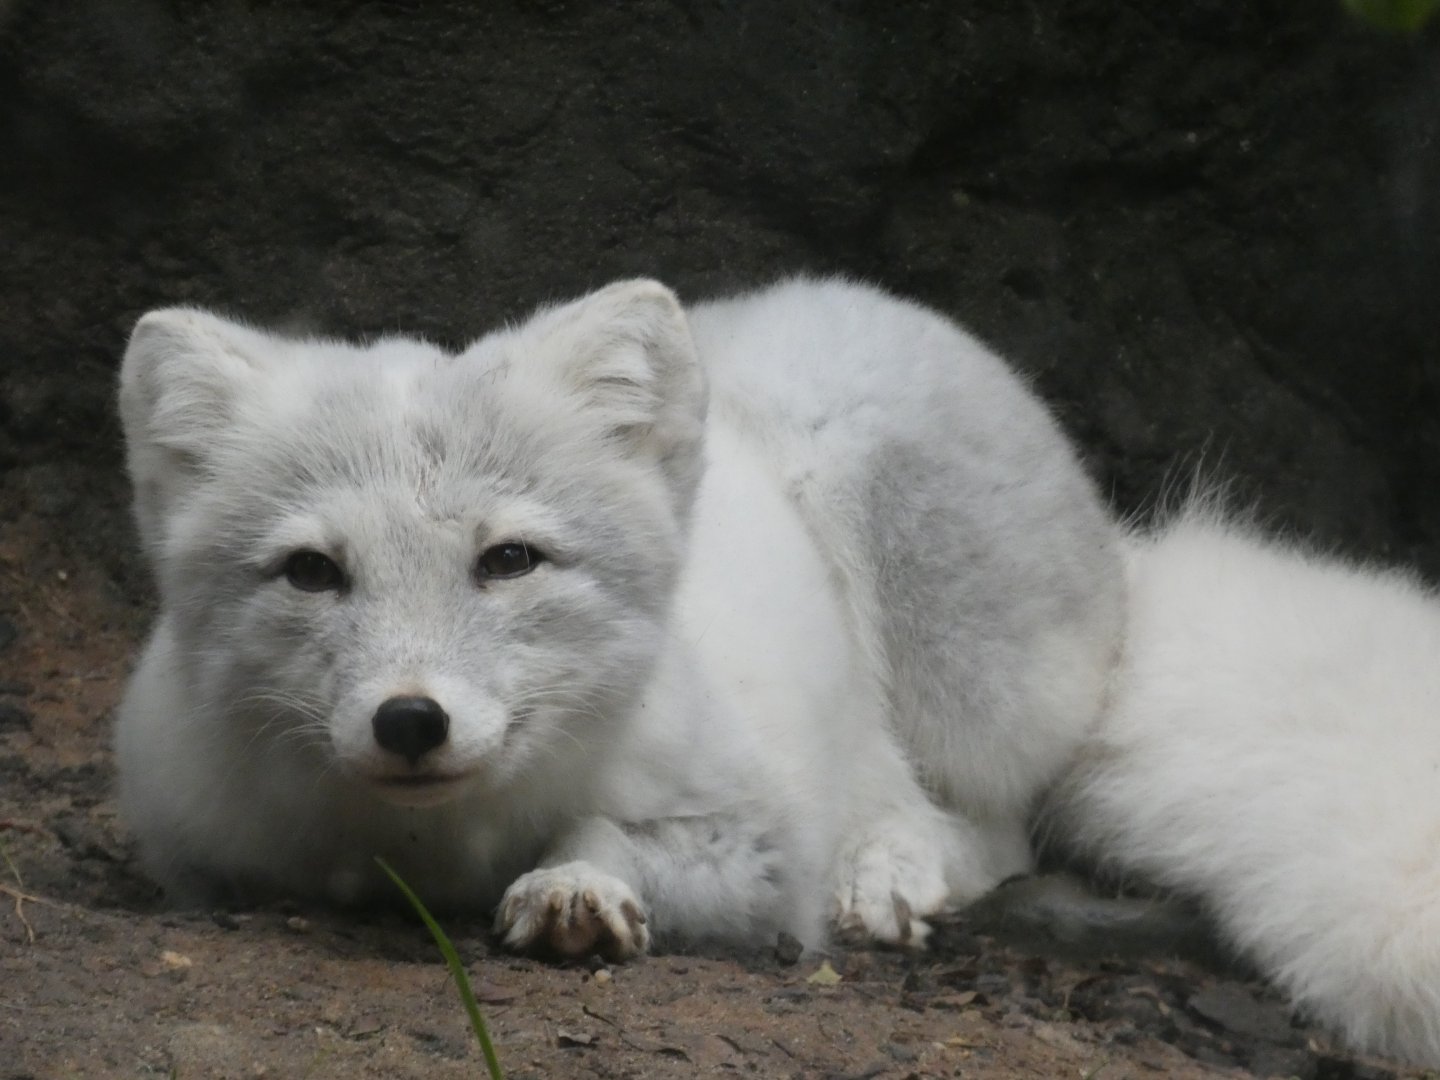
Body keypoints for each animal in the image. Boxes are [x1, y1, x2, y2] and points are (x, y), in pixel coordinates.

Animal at [114, 277, 1124, 958]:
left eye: (508, 560)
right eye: (312, 572)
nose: (409, 721)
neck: (439, 848)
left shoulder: (765, 843)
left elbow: (609, 833)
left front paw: (574, 885)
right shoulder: (194, 848)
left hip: (952, 668)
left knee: (989, 824)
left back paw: (884, 877)